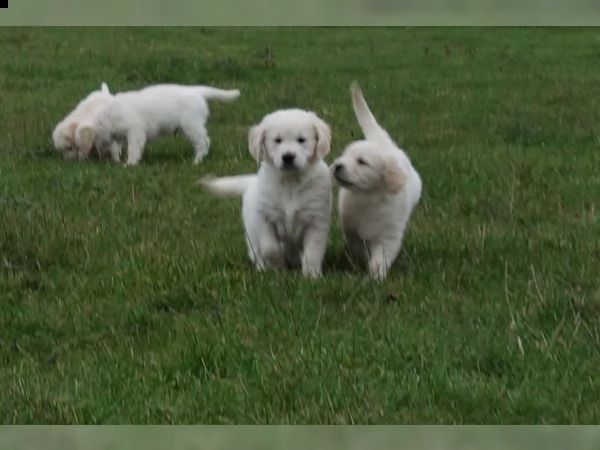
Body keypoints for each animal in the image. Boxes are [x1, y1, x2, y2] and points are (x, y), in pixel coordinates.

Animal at [75, 83, 241, 166]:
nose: (80, 159)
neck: (108, 116)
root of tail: (196, 91)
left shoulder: (135, 130)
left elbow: (133, 148)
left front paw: (130, 163)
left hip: (191, 125)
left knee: (203, 142)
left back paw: (197, 160)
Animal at [202, 109, 332, 278]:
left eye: (301, 140)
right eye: (277, 140)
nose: (288, 156)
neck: (290, 182)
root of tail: (251, 181)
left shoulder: (316, 221)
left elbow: (313, 251)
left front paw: (311, 275)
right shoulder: (264, 219)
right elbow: (270, 248)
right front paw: (277, 268)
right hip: (251, 231)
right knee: (257, 251)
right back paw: (262, 267)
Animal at [332, 80, 422, 278]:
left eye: (362, 162)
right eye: (345, 155)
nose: (337, 166)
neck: (368, 197)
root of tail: (384, 144)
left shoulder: (388, 237)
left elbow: (381, 257)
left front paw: (376, 276)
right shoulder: (352, 230)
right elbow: (358, 246)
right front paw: (362, 262)